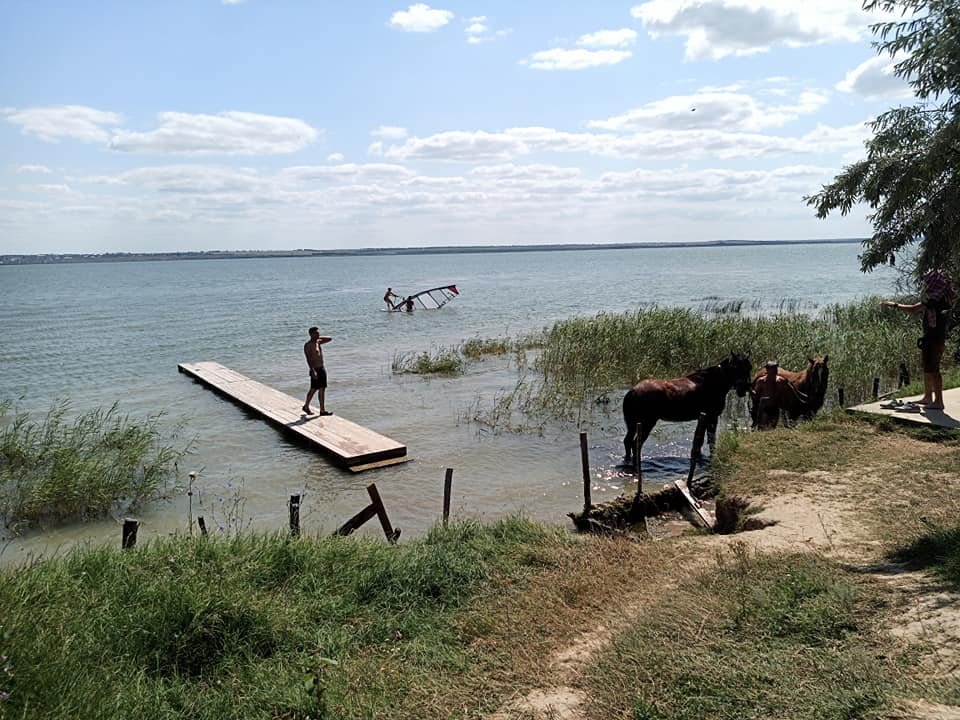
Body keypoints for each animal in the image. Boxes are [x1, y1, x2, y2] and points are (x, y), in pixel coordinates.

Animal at [624, 352, 756, 470]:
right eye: (735, 367)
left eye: (749, 367)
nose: (743, 388)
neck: (713, 383)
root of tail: (632, 391)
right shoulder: (712, 417)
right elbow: (711, 440)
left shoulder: (704, 418)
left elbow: (700, 441)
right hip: (646, 423)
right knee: (635, 444)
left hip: (633, 425)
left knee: (628, 442)